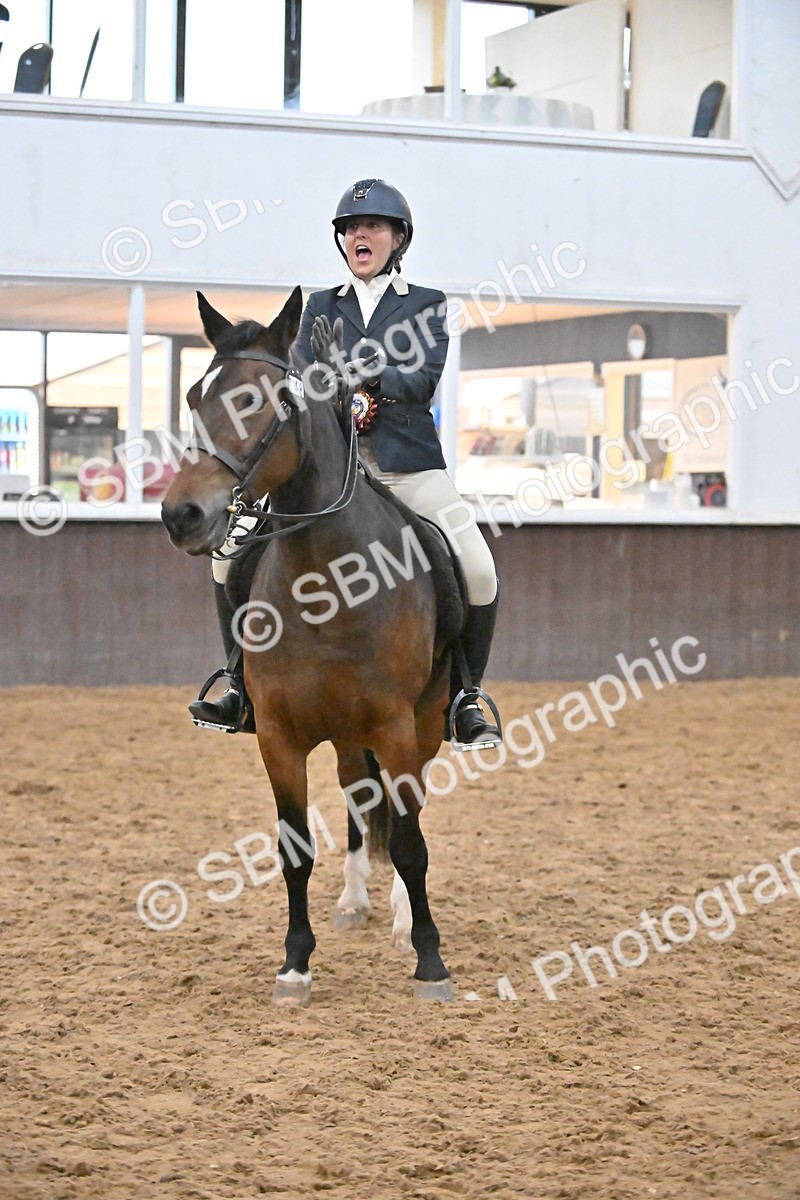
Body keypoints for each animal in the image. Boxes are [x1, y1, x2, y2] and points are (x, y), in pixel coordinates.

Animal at [161, 289, 466, 1005]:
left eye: (256, 400)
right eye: (193, 395)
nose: (182, 516)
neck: (329, 582)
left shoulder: (396, 727)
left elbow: (411, 845)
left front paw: (429, 960)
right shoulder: (279, 735)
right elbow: (294, 849)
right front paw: (295, 964)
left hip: (420, 725)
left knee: (407, 814)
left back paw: (402, 918)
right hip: (347, 732)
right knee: (359, 798)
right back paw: (355, 901)